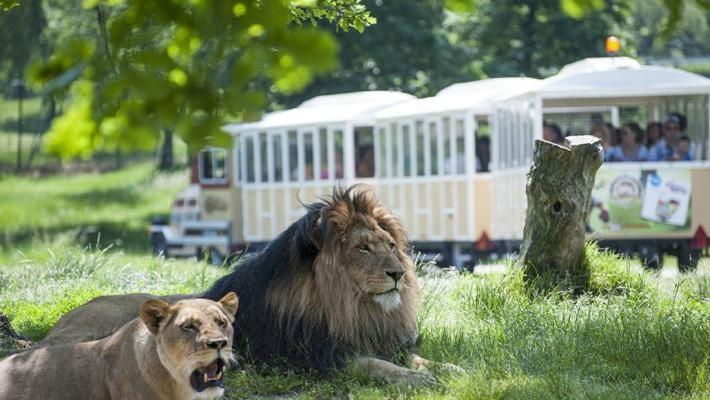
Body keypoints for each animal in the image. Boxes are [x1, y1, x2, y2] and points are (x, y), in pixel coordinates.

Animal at [40, 187, 462, 384]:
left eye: (390, 246)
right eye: (363, 248)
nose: (399, 273)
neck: (354, 307)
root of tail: (48, 337)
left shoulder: (384, 340)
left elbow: (415, 358)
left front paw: (449, 369)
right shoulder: (320, 358)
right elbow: (376, 367)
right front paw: (420, 379)